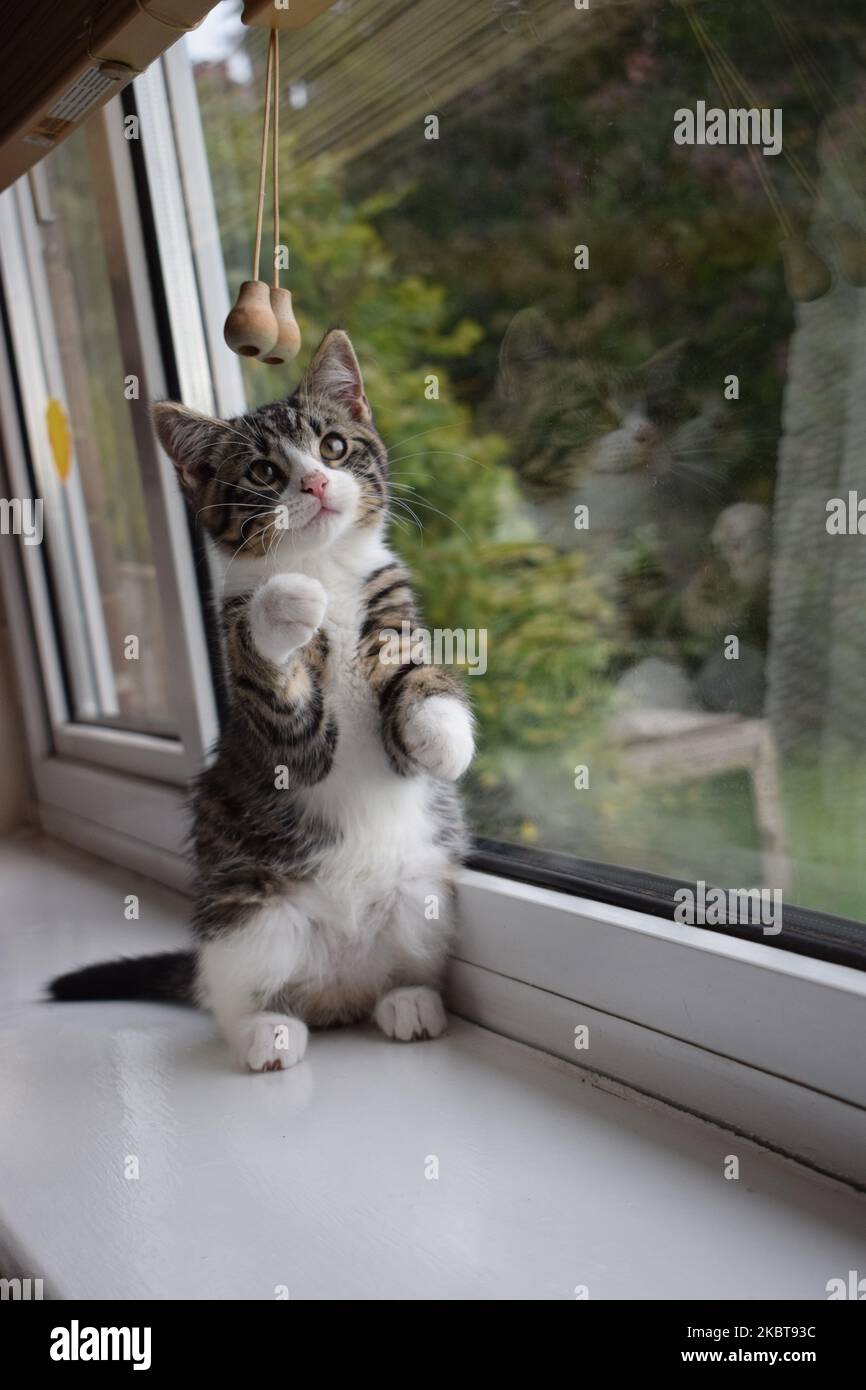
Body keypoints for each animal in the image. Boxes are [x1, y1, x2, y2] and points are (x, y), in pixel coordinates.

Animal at [48, 333, 475, 1073]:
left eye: (333, 446)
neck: (327, 571)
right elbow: (282, 711)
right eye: (263, 472)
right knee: (237, 992)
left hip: (421, 896)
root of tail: (341, 988)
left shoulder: (389, 601)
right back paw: (266, 1033)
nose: (314, 484)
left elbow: (417, 682)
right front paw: (283, 605)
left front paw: (444, 735)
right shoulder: (269, 729)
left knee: (401, 960)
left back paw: (408, 998)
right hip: (248, 919)